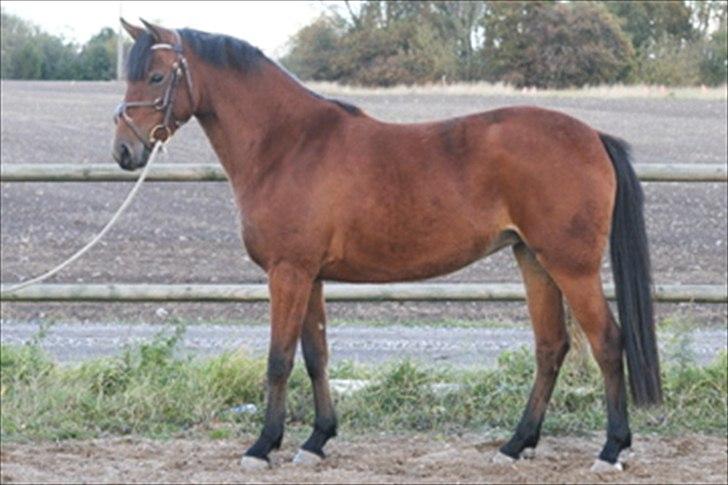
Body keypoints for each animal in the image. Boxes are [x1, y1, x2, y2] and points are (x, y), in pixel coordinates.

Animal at [112, 19, 662, 472]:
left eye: (156, 78)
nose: (124, 150)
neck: (288, 144)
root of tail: (591, 135)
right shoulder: (310, 276)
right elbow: (316, 356)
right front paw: (316, 441)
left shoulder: (288, 273)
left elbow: (279, 360)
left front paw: (262, 446)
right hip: (533, 260)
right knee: (552, 346)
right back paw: (515, 445)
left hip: (571, 266)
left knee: (607, 342)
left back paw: (611, 449)